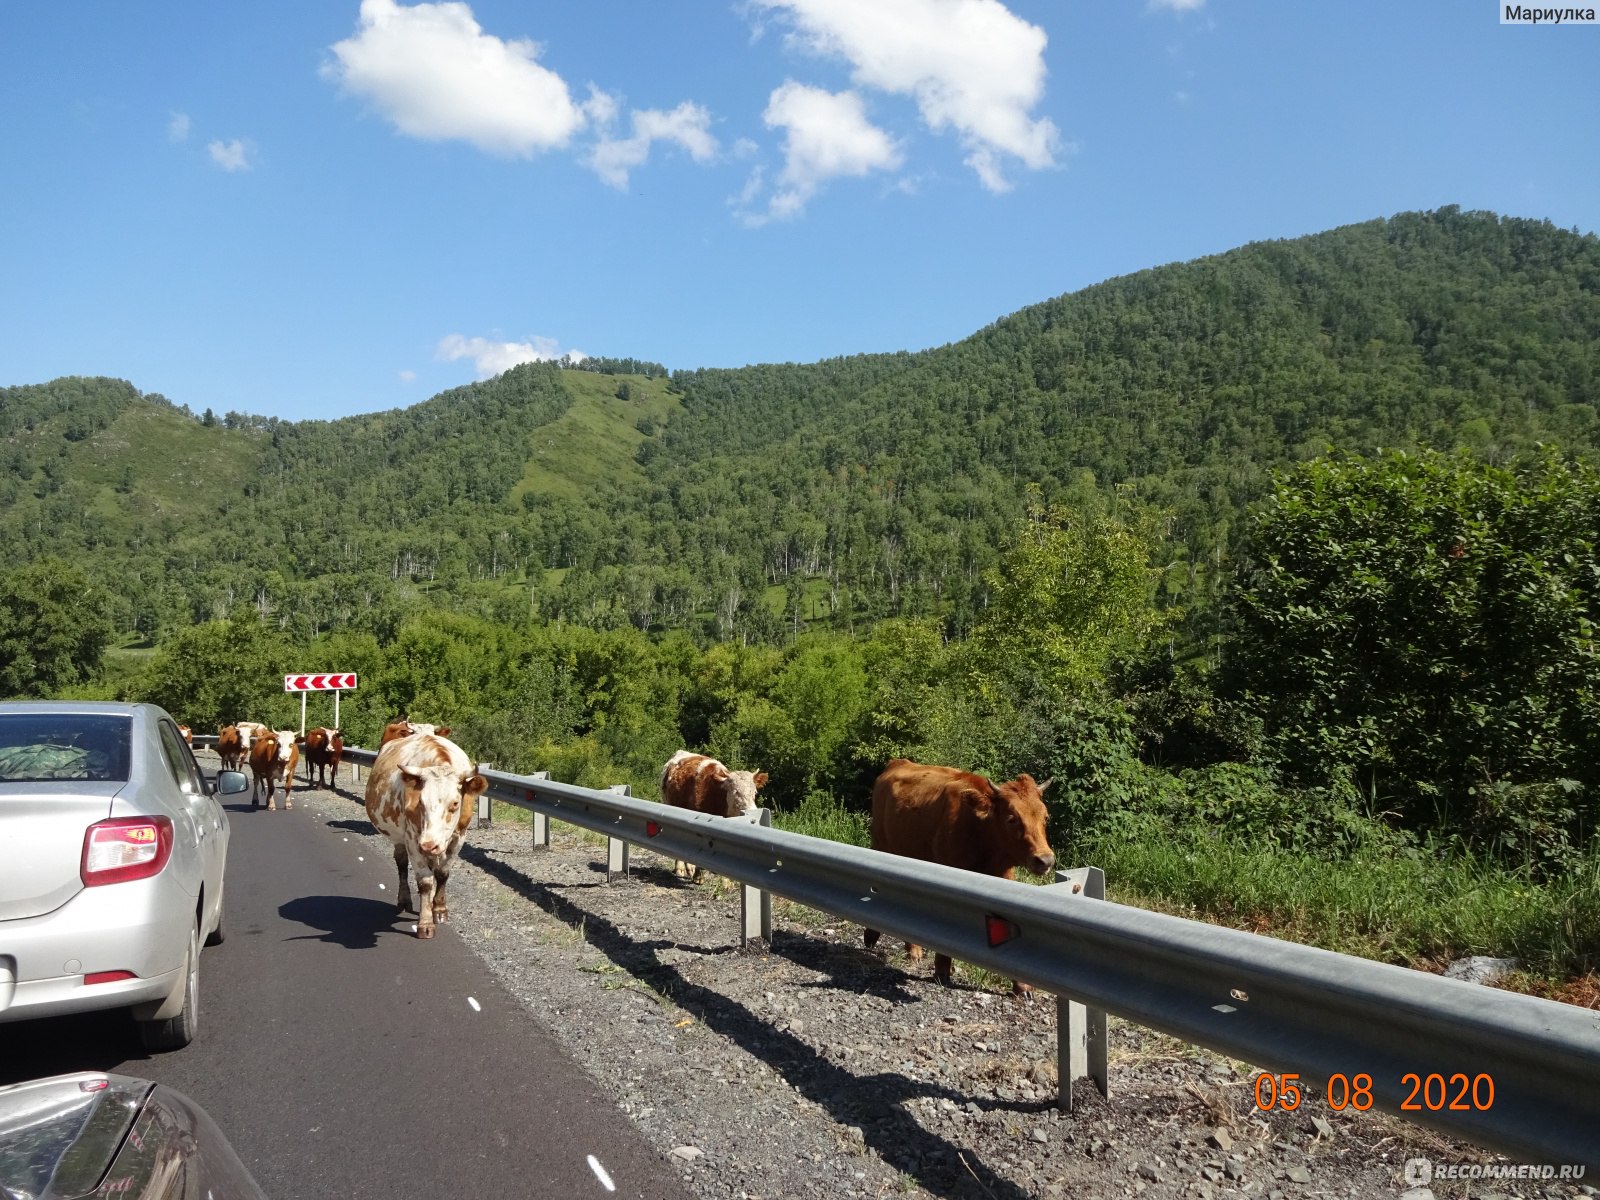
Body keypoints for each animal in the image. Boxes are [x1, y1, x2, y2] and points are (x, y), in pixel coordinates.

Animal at [366, 732, 483, 940]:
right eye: (420, 801)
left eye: (455, 803)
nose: (429, 845)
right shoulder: (413, 839)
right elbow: (425, 882)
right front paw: (426, 923)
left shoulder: (459, 837)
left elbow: (443, 873)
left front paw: (439, 910)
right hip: (399, 838)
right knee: (401, 863)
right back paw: (404, 901)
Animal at [656, 752, 768, 883]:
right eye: (735, 792)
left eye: (754, 792)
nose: (752, 811)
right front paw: (698, 876)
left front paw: (727, 883)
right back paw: (681, 868)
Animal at [870, 764, 1056, 992]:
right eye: (1012, 818)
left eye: (1045, 817)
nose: (1045, 860)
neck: (980, 831)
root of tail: (898, 762)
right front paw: (942, 970)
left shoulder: (1004, 877)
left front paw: (1021, 985)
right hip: (880, 845)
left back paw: (912, 950)